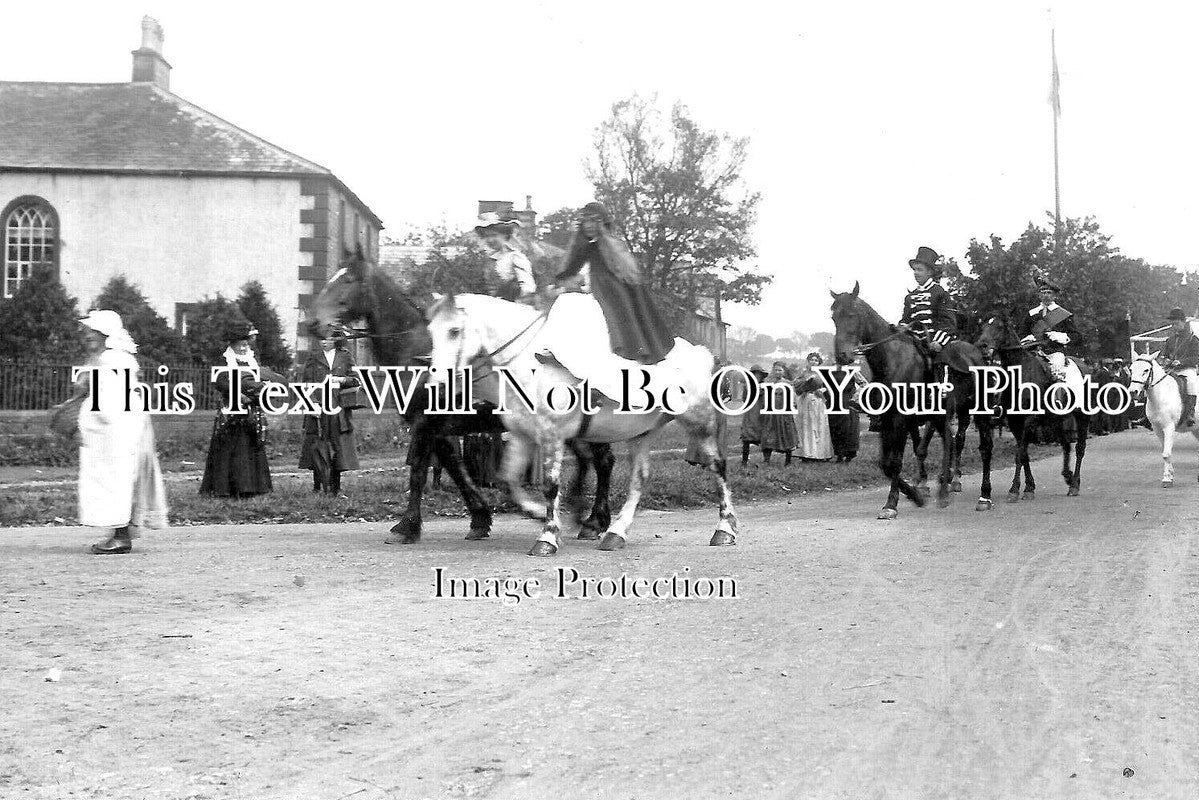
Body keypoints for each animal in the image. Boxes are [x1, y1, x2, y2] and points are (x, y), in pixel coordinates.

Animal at [309, 250, 613, 544]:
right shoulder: (440, 429)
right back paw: (582, 514)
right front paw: (479, 519)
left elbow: (418, 472)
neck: (416, 352)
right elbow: (456, 470)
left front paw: (406, 526)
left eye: (348, 280)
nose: (313, 323)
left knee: (602, 461)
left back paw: (594, 521)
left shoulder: (424, 425)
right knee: (587, 460)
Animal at [426, 292, 733, 556]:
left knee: (717, 466)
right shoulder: (523, 436)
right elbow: (508, 480)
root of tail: (703, 354)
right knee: (638, 478)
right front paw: (537, 513)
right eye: (431, 330)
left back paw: (725, 529)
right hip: (642, 432)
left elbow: (550, 485)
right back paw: (615, 533)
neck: (529, 367)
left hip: (699, 421)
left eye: (454, 331)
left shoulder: (551, 435)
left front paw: (548, 536)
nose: (437, 382)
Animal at [829, 284, 997, 515]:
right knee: (951, 441)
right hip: (941, 415)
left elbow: (896, 462)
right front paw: (915, 495)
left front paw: (892, 503)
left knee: (985, 448)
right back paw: (944, 488)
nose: (842, 356)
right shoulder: (887, 419)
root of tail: (978, 355)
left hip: (979, 411)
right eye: (834, 317)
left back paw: (983, 495)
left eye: (852, 315)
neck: (892, 361)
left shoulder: (901, 418)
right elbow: (885, 463)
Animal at [978, 311, 1093, 501]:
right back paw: (1067, 476)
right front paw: (1029, 487)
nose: (982, 345)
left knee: (1079, 448)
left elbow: (1019, 453)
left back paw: (1074, 485)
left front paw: (1014, 489)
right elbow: (1024, 454)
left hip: (1082, 416)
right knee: (1066, 444)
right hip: (1058, 418)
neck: (1020, 373)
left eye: (999, 327)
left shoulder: (1029, 419)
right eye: (984, 326)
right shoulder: (1014, 422)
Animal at [1122, 352, 1199, 489]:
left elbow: (1166, 454)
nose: (1133, 392)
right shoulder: (1158, 429)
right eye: (1131, 369)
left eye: (1146, 370)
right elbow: (1165, 452)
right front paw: (1170, 475)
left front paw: (1167, 479)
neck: (1161, 395)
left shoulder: (1169, 427)